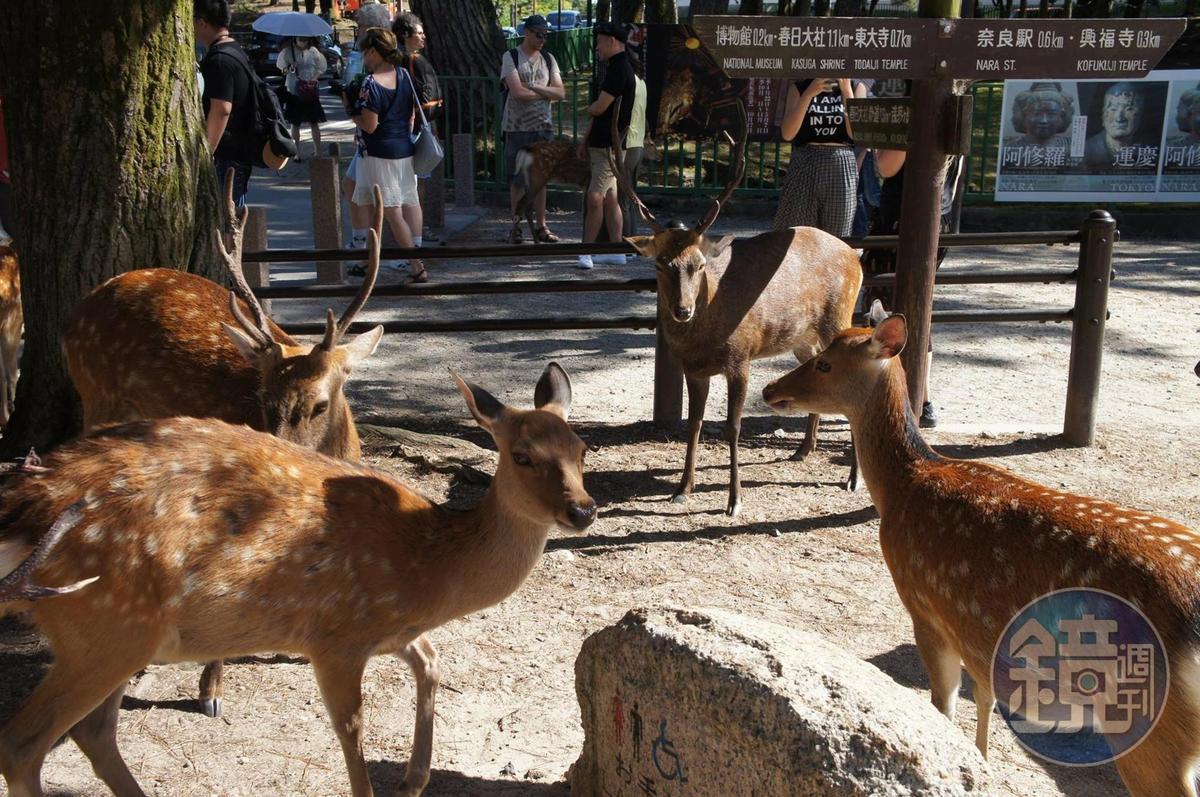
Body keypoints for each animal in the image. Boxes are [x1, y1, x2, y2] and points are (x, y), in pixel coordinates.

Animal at [0, 362, 595, 797]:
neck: (428, 566)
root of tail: (30, 507)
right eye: (521, 456)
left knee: (93, 733)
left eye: (581, 448)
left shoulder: (391, 630)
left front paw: (414, 779)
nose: (583, 511)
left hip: (118, 634)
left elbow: (430, 663)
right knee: (24, 743)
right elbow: (353, 730)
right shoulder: (336, 636)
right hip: (105, 625)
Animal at [63, 178, 386, 715]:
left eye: (319, 404)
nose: (282, 463)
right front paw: (210, 690)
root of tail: (79, 309)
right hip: (95, 392)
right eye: (262, 399)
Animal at [609, 102, 864, 516]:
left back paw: (853, 479)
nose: (683, 310)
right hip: (802, 337)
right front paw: (683, 488)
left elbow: (733, 426)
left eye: (698, 264)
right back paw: (803, 450)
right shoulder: (693, 369)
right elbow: (694, 423)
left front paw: (734, 500)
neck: (704, 338)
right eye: (660, 264)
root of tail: (855, 254)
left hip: (839, 314)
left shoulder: (741, 357)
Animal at [763, 312, 1200, 797]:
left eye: (824, 363)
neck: (903, 486)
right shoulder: (975, 634)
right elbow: (986, 696)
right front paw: (982, 764)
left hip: (1146, 723)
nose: (768, 389)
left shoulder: (925, 606)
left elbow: (943, 705)